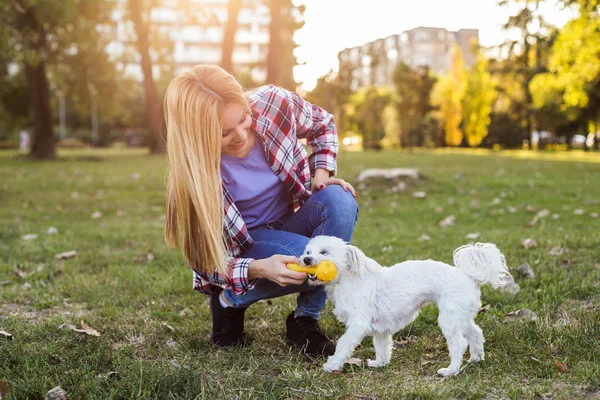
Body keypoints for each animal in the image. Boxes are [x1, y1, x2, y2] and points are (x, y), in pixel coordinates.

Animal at [302, 234, 512, 376]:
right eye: (308, 251)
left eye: (324, 252)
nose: (306, 259)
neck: (347, 280)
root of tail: (469, 276)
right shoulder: (380, 329)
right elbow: (382, 346)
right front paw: (380, 363)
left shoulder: (358, 324)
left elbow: (344, 344)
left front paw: (332, 364)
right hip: (461, 316)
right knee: (476, 333)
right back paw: (476, 359)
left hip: (450, 319)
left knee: (459, 344)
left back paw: (451, 371)